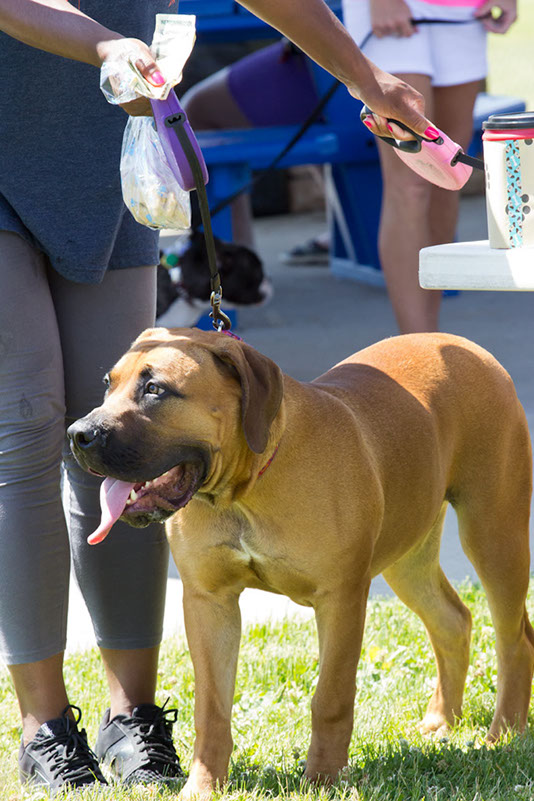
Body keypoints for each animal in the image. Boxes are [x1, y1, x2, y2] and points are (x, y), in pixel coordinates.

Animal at [68, 328, 534, 796]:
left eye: (155, 389)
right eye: (108, 384)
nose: (78, 433)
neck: (246, 489)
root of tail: (467, 345)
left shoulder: (341, 599)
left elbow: (330, 698)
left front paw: (324, 778)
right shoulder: (208, 601)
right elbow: (211, 708)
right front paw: (203, 785)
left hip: (493, 533)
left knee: (515, 638)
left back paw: (504, 733)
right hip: (408, 555)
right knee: (453, 621)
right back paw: (442, 721)